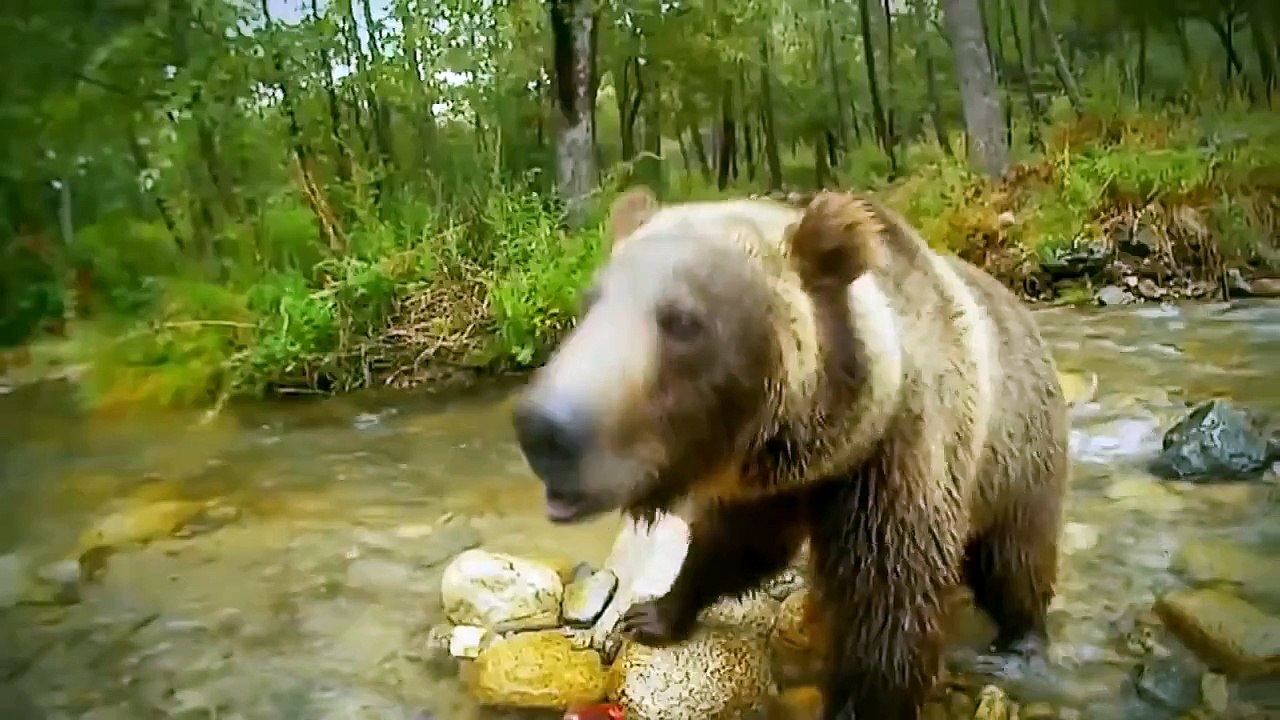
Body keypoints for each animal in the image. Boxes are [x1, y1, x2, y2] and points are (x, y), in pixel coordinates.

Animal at [511, 186, 1070, 720]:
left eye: (683, 321)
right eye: (590, 303)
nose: (544, 427)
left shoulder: (896, 463)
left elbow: (887, 609)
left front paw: (860, 703)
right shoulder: (774, 484)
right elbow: (736, 544)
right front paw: (652, 612)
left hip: (1020, 455)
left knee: (1016, 558)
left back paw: (1020, 641)